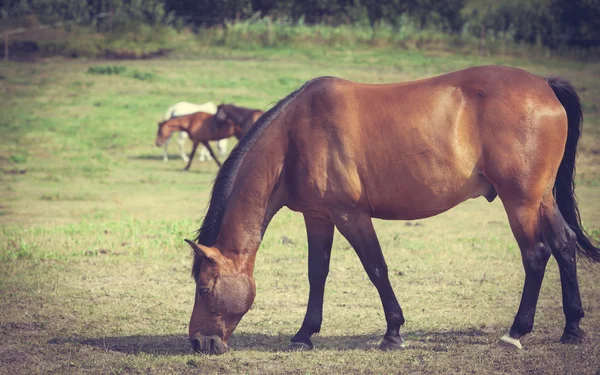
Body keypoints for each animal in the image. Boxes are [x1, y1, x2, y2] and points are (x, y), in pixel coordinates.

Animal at [185, 66, 596, 356]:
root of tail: (544, 85)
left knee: (536, 254)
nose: (198, 343)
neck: (294, 137)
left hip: (520, 201)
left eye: (204, 288)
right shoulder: (318, 217)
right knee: (564, 245)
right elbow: (317, 272)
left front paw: (393, 332)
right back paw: (572, 328)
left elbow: (376, 269)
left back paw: (515, 333)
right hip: (541, 198)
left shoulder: (350, 215)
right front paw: (304, 334)